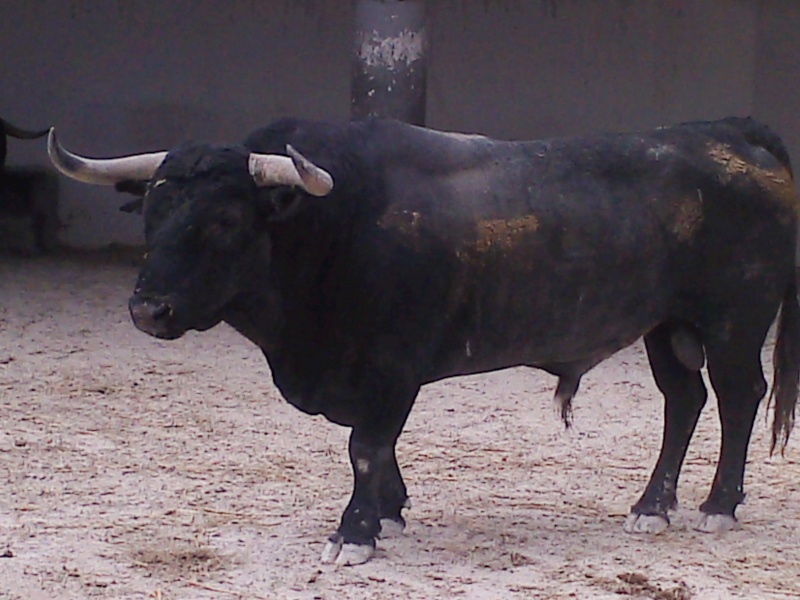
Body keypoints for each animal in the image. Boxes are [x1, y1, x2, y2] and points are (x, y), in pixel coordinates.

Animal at [50, 118, 800, 568]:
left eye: (228, 217)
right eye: (152, 212)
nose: (148, 309)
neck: (336, 224)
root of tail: (725, 132)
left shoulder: (391, 369)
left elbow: (365, 446)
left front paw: (355, 533)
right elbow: (377, 450)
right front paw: (390, 511)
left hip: (733, 322)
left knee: (738, 399)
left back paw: (717, 506)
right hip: (666, 327)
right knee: (684, 402)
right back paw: (652, 507)